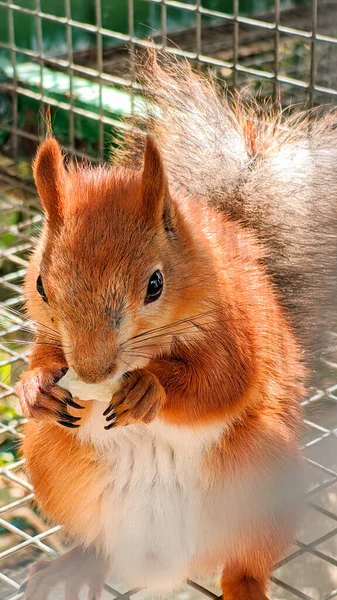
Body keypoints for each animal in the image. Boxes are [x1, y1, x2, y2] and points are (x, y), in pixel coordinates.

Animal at [17, 51, 334, 600]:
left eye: (155, 284)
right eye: (40, 284)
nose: (93, 373)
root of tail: (163, 566)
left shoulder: (238, 327)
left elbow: (223, 381)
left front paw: (151, 388)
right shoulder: (50, 338)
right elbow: (43, 354)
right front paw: (35, 387)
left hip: (263, 473)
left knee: (246, 561)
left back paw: (245, 585)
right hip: (50, 457)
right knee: (96, 541)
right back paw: (76, 564)